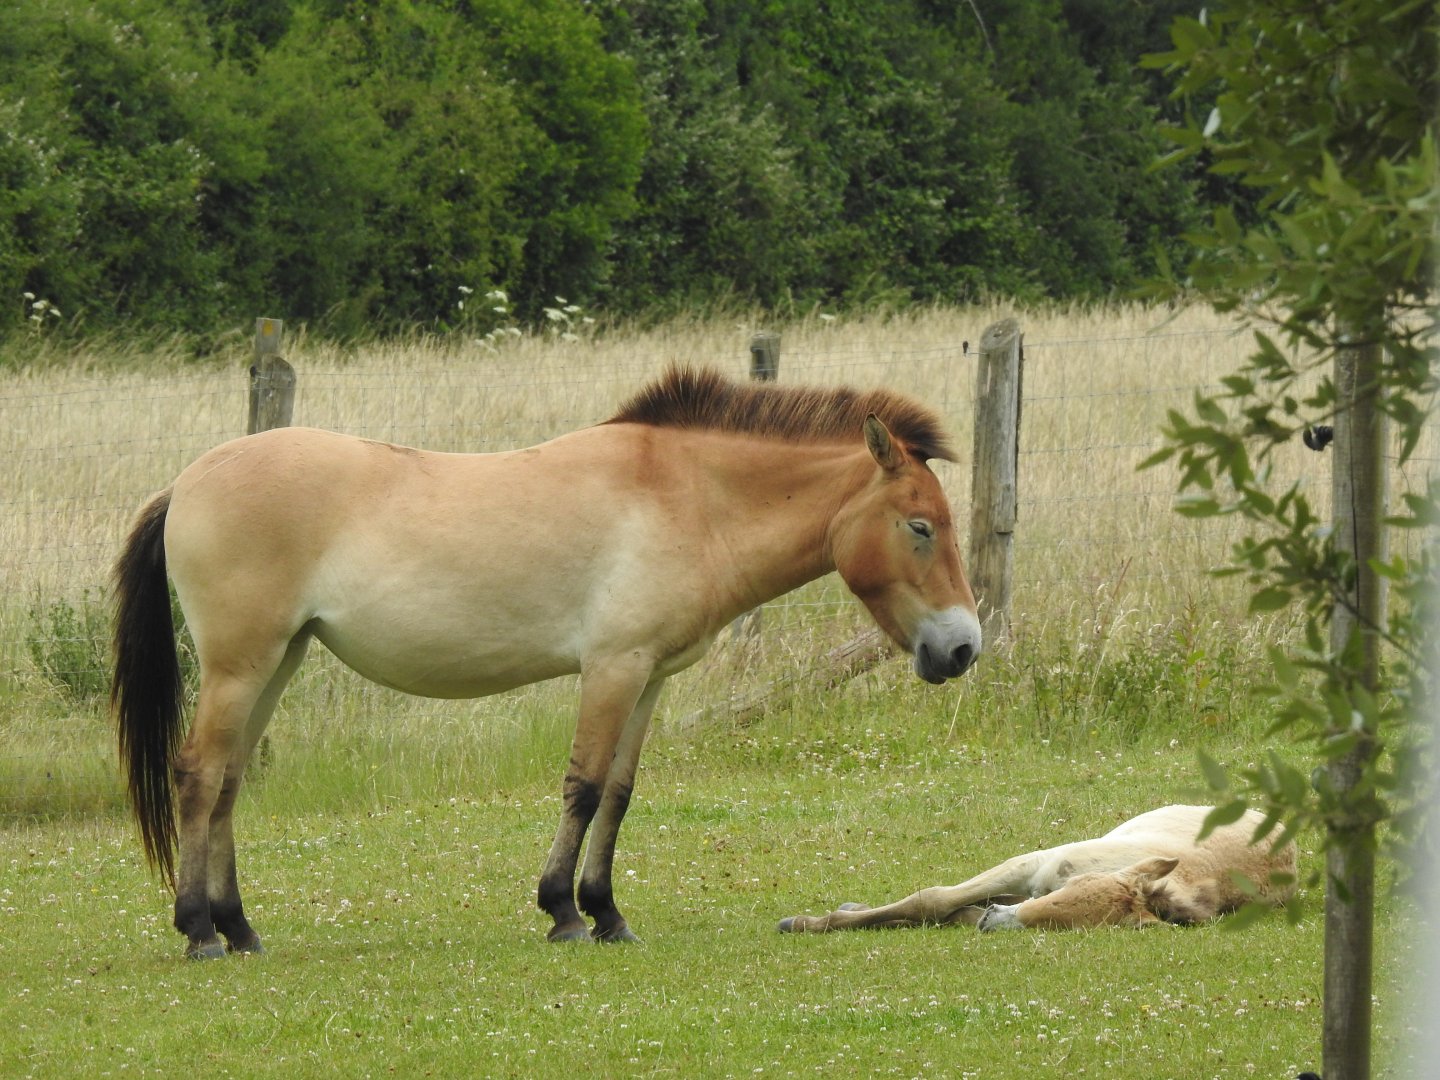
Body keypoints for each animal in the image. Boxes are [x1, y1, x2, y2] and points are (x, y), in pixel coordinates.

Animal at [111, 365, 982, 958]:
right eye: (920, 526)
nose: (963, 646)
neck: (687, 495)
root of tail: (186, 482)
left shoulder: (650, 678)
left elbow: (621, 794)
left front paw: (607, 911)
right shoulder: (612, 668)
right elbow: (584, 787)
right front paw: (564, 910)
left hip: (278, 662)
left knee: (228, 783)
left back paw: (239, 926)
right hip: (240, 665)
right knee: (199, 775)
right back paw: (199, 930)